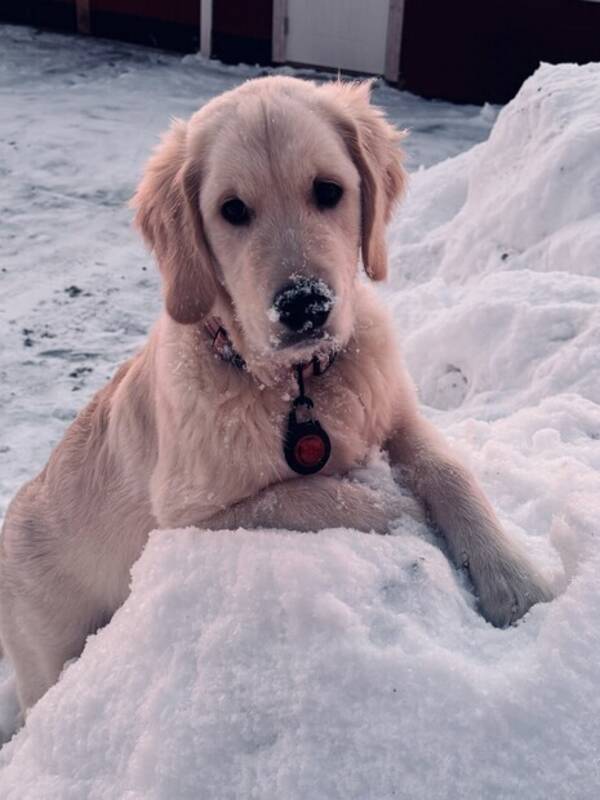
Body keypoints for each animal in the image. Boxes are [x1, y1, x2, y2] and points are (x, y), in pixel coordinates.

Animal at [1, 76, 552, 720]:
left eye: (329, 190)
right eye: (232, 210)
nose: (304, 305)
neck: (295, 384)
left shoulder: (394, 411)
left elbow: (451, 472)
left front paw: (515, 578)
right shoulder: (188, 518)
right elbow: (310, 496)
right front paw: (407, 521)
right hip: (46, 647)